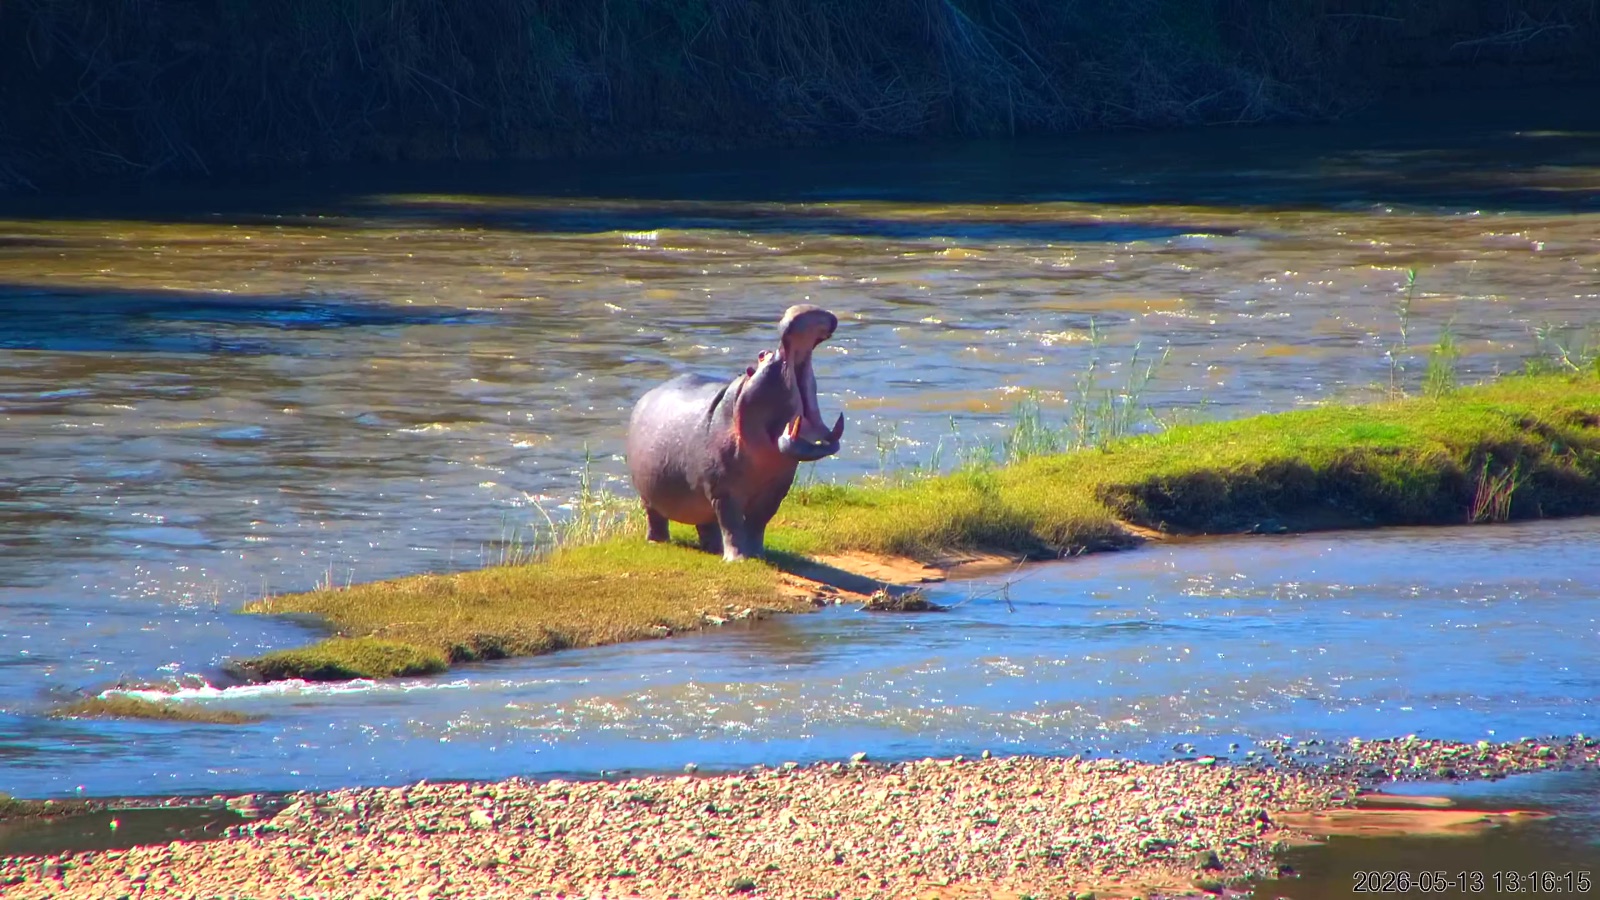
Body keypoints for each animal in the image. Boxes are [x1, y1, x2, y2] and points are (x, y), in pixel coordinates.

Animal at [625, 305, 845, 561]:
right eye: (761, 355)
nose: (804, 308)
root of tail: (646, 395)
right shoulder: (723, 492)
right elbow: (732, 525)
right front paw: (738, 559)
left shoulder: (775, 490)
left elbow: (758, 523)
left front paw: (758, 554)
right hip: (648, 496)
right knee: (657, 519)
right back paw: (657, 542)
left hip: (700, 501)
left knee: (707, 524)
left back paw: (713, 548)